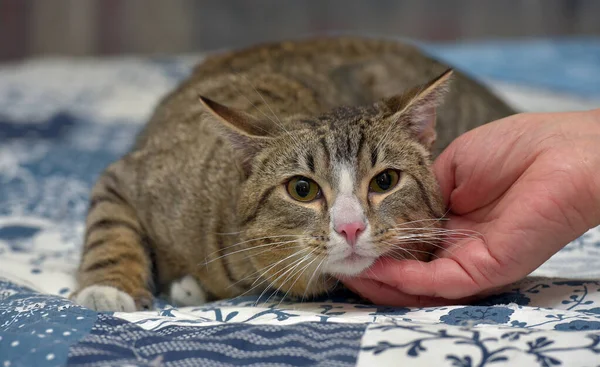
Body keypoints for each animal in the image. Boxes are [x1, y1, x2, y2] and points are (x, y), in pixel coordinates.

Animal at [70, 37, 510, 312]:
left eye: (385, 181)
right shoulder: (130, 179)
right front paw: (107, 289)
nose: (350, 227)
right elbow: (110, 228)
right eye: (302, 189)